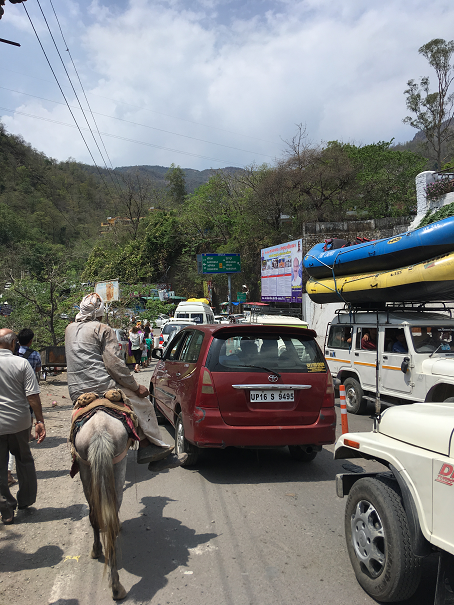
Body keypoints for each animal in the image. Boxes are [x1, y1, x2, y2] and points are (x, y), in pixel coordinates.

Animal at [75, 406, 130, 600]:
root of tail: (99, 429)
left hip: (86, 469)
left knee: (94, 516)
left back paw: (96, 550)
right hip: (119, 467)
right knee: (111, 519)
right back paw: (117, 587)